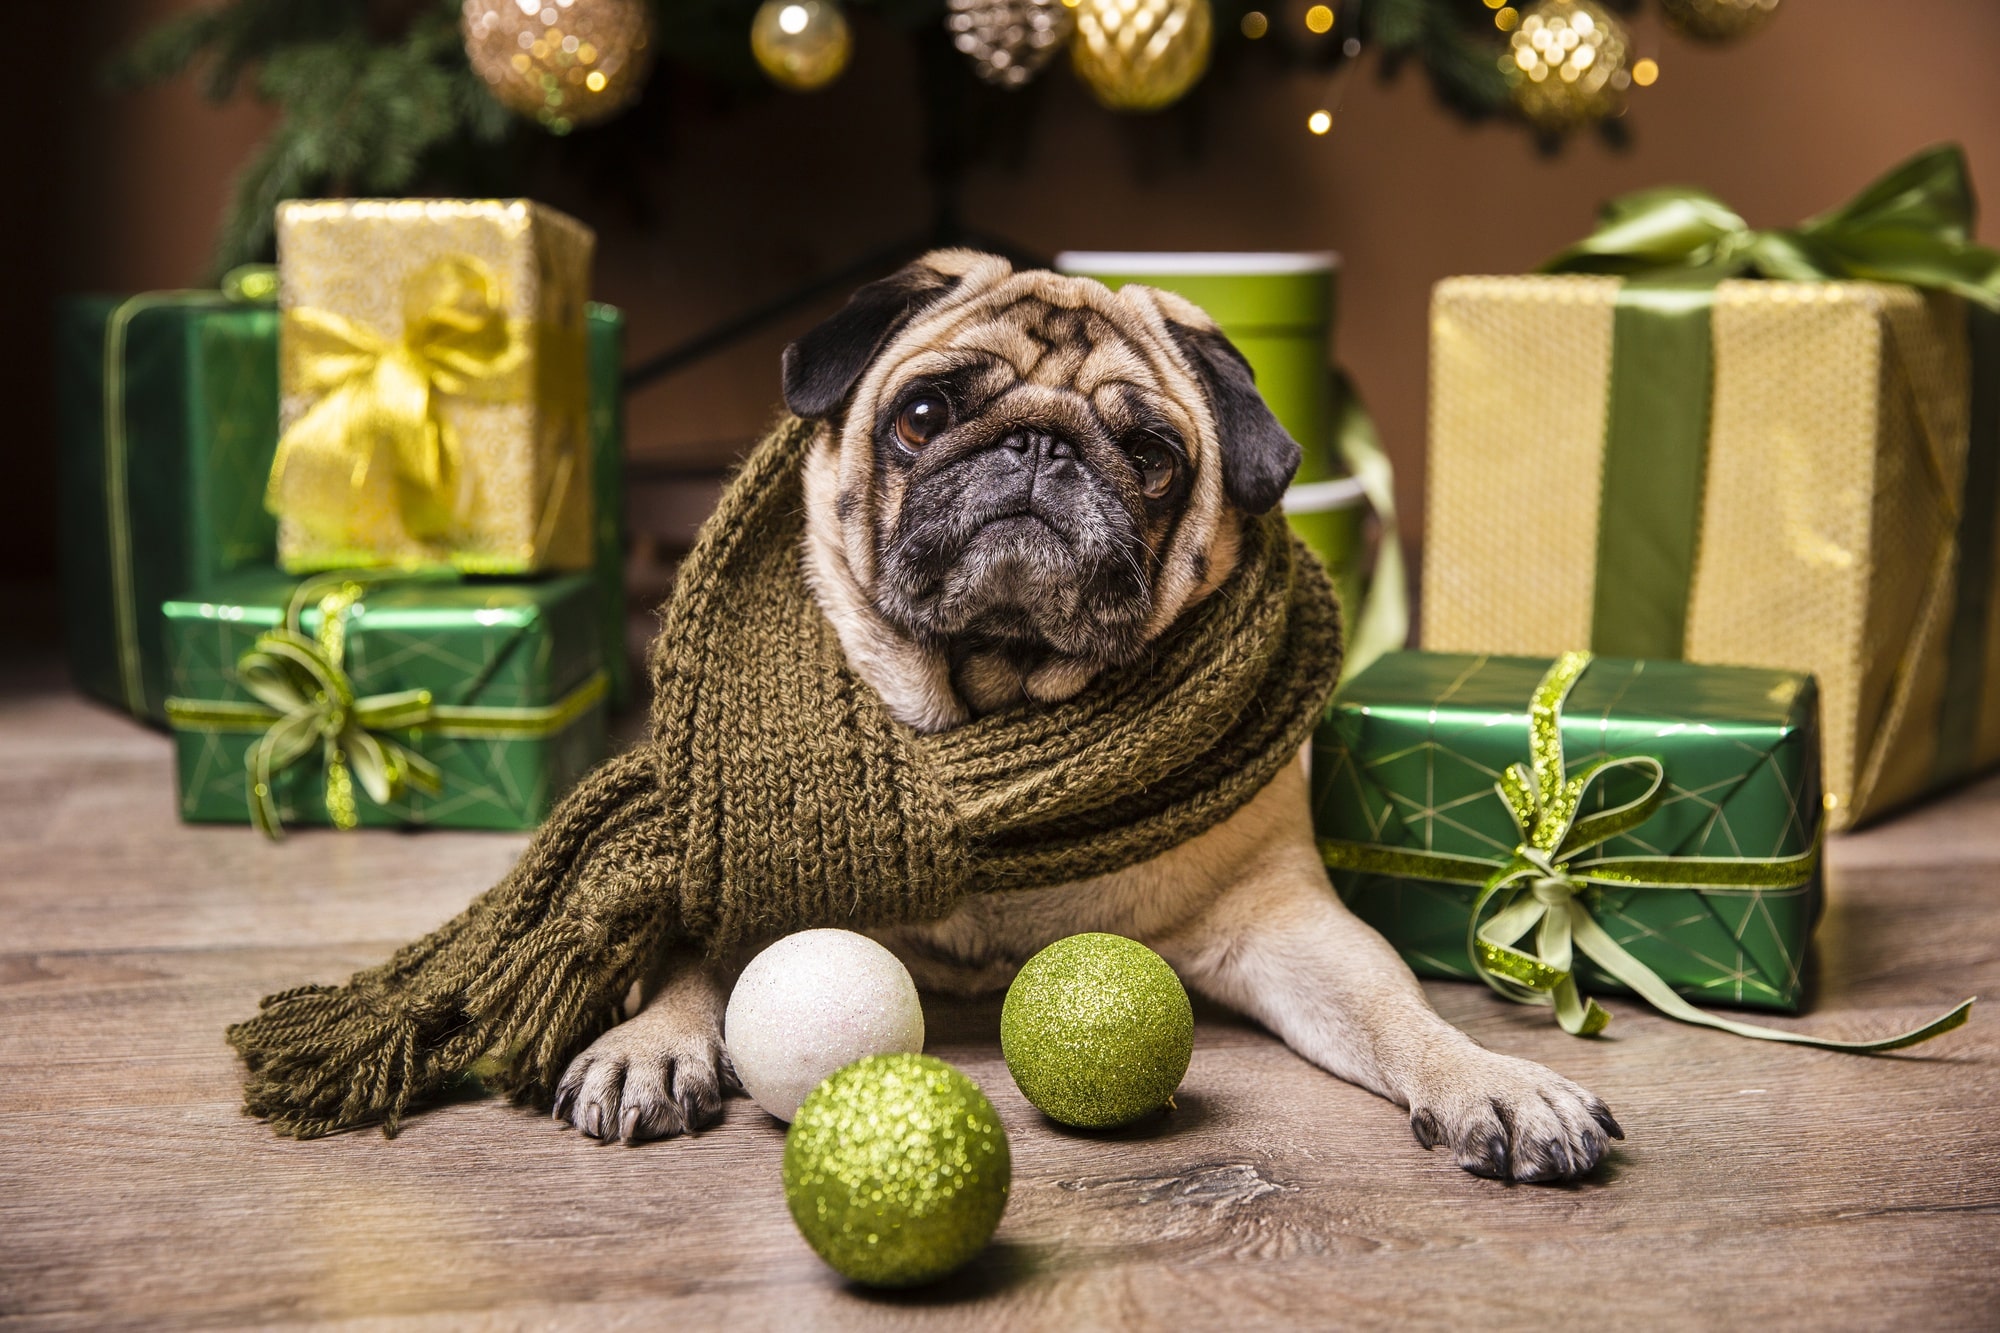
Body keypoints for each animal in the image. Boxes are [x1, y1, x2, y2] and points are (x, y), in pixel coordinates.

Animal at [556, 252, 1616, 1184]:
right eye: (923, 415)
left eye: (1151, 457)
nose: (1039, 442)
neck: (995, 703)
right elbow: (684, 944)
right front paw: (651, 1040)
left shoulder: (1291, 919)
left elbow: (1399, 1010)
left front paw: (1491, 1079)